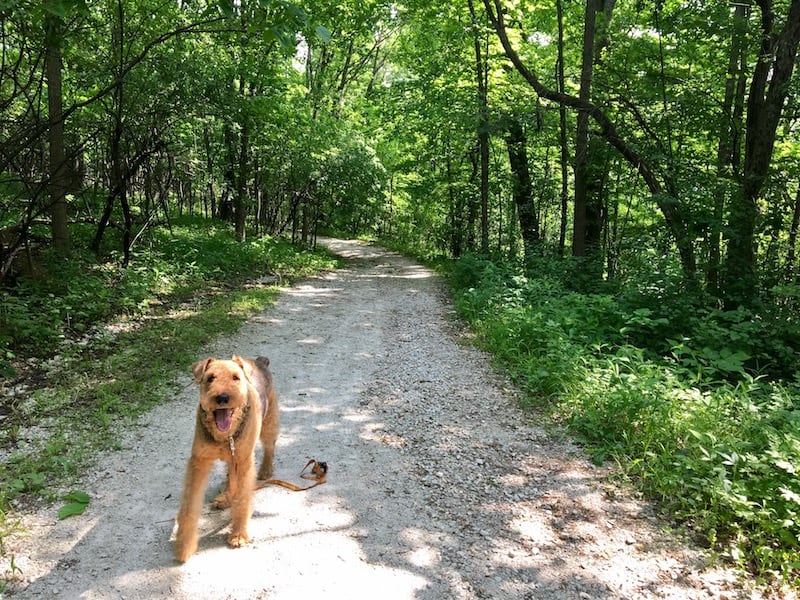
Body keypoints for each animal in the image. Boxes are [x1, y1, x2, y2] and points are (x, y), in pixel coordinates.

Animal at [173, 354, 280, 560]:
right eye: (210, 378)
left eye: (235, 377)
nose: (222, 397)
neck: (224, 436)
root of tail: (259, 361)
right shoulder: (199, 461)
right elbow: (190, 505)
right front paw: (184, 546)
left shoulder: (244, 461)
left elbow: (242, 500)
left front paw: (238, 536)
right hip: (232, 456)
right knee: (230, 476)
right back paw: (224, 498)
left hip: (269, 422)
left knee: (270, 446)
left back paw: (265, 470)